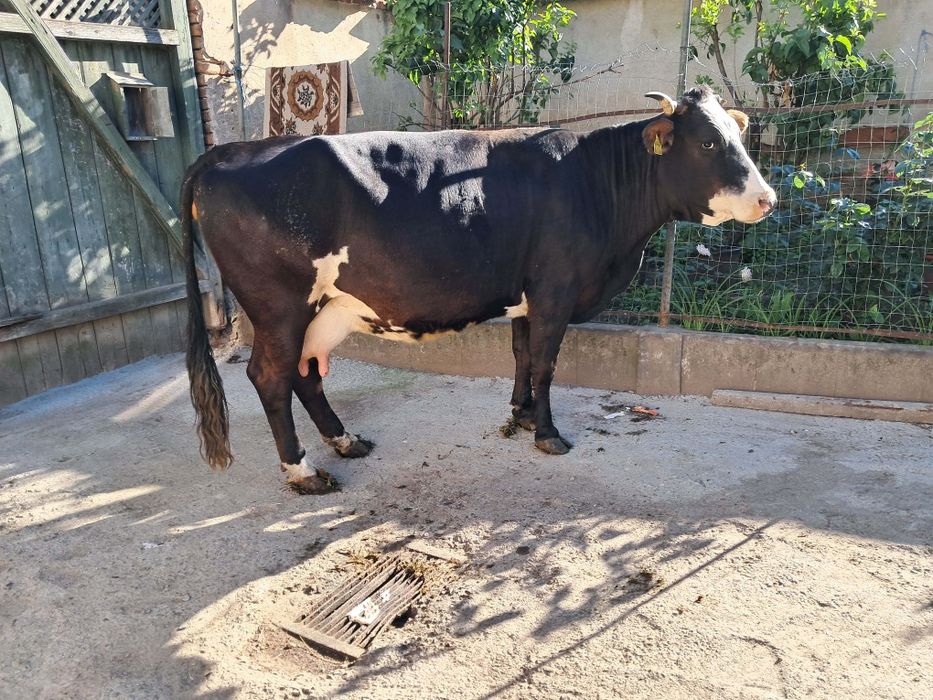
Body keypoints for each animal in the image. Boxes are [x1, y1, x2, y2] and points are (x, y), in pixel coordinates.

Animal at [183, 86, 776, 495]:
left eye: (740, 137)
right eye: (707, 142)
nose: (768, 198)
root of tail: (231, 151)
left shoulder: (528, 294)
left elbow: (521, 355)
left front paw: (521, 415)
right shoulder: (556, 289)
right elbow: (545, 363)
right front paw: (547, 433)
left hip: (322, 309)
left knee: (305, 374)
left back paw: (346, 442)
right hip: (279, 306)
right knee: (271, 377)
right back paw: (303, 471)